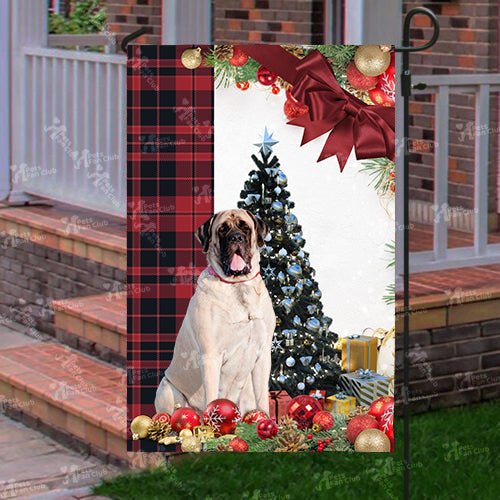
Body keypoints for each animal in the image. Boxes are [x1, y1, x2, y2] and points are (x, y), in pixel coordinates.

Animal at [154, 209, 276, 416]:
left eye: (245, 227)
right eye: (222, 230)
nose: (236, 237)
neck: (238, 286)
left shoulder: (263, 354)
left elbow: (262, 397)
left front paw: (266, 419)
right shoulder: (210, 356)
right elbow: (211, 395)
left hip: (246, 391)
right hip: (167, 388)